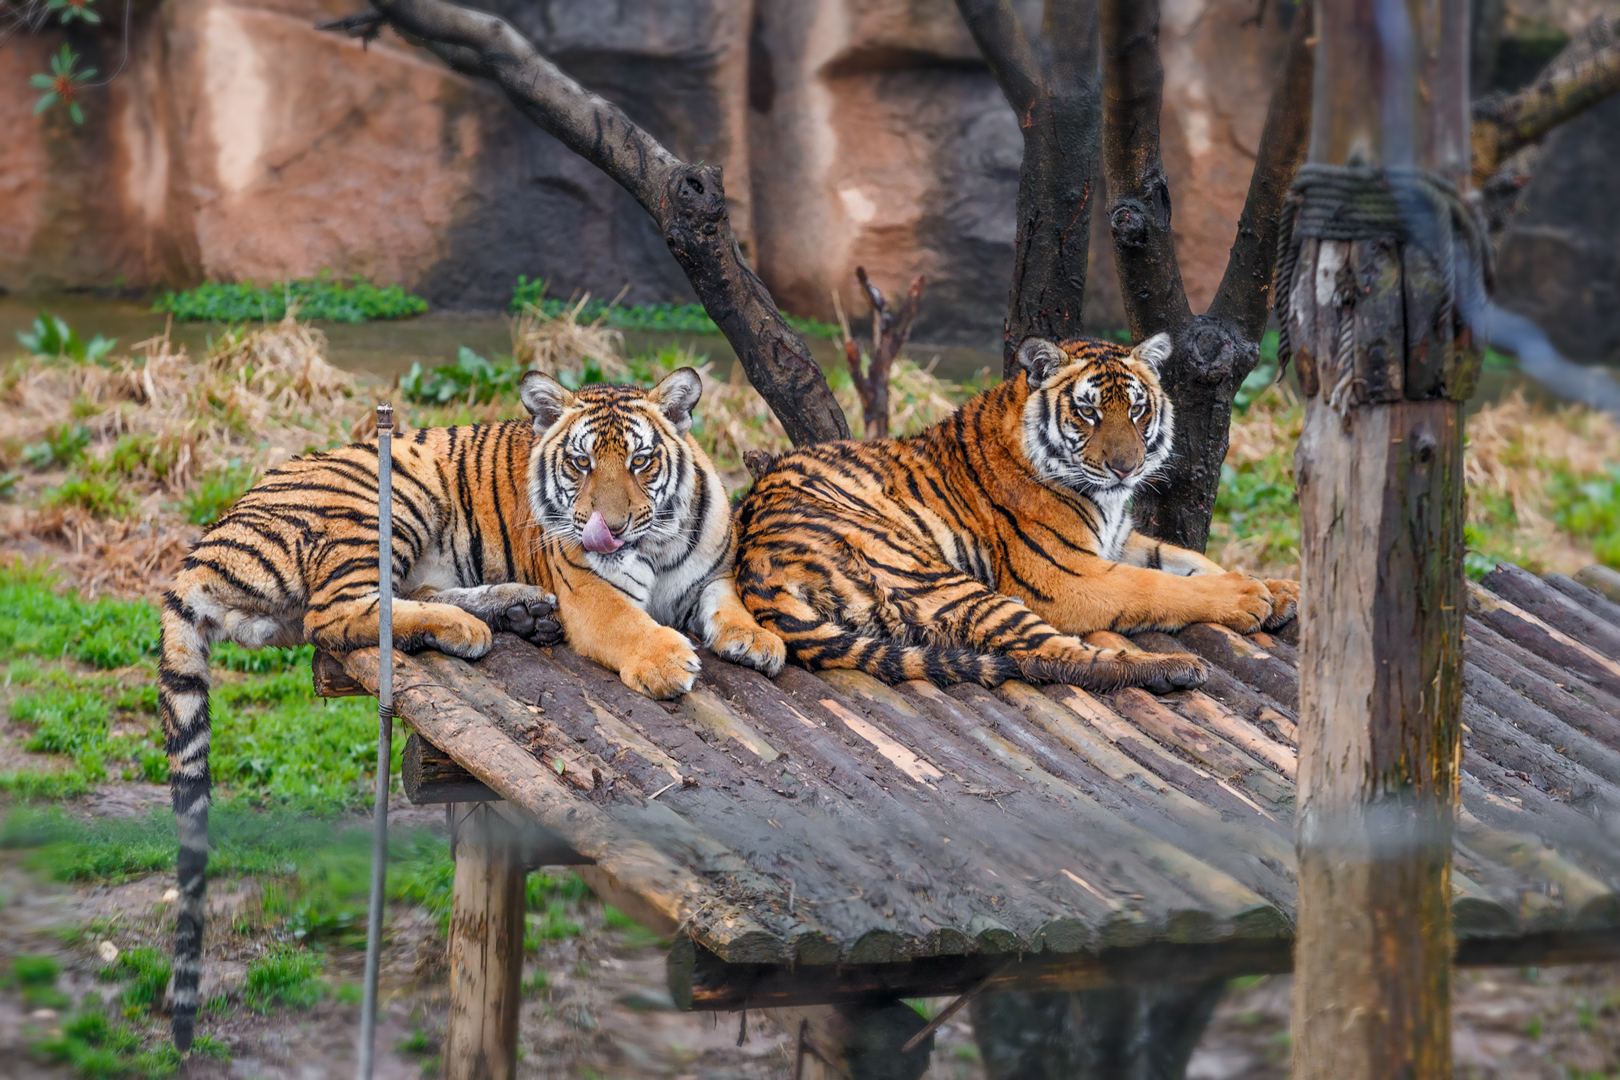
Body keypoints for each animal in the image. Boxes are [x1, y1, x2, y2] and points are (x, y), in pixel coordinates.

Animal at [157, 366, 783, 1050]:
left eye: (641, 462)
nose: (608, 528)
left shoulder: (710, 576)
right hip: (388, 497)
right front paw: (667, 661)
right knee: (339, 612)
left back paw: (518, 610)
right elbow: (626, 622)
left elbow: (729, 602)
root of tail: (213, 536)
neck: (658, 545)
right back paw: (470, 628)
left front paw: (758, 640)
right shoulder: (589, 590)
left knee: (403, 595)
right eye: (581, 463)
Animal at [734, 333, 1298, 693]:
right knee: (1049, 655)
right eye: (1089, 411)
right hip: (935, 577)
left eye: (1137, 409)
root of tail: (752, 563)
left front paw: (1278, 589)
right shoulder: (1063, 575)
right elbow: (1157, 585)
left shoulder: (1119, 539)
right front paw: (1248, 597)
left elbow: (1187, 559)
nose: (1126, 468)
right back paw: (1174, 668)